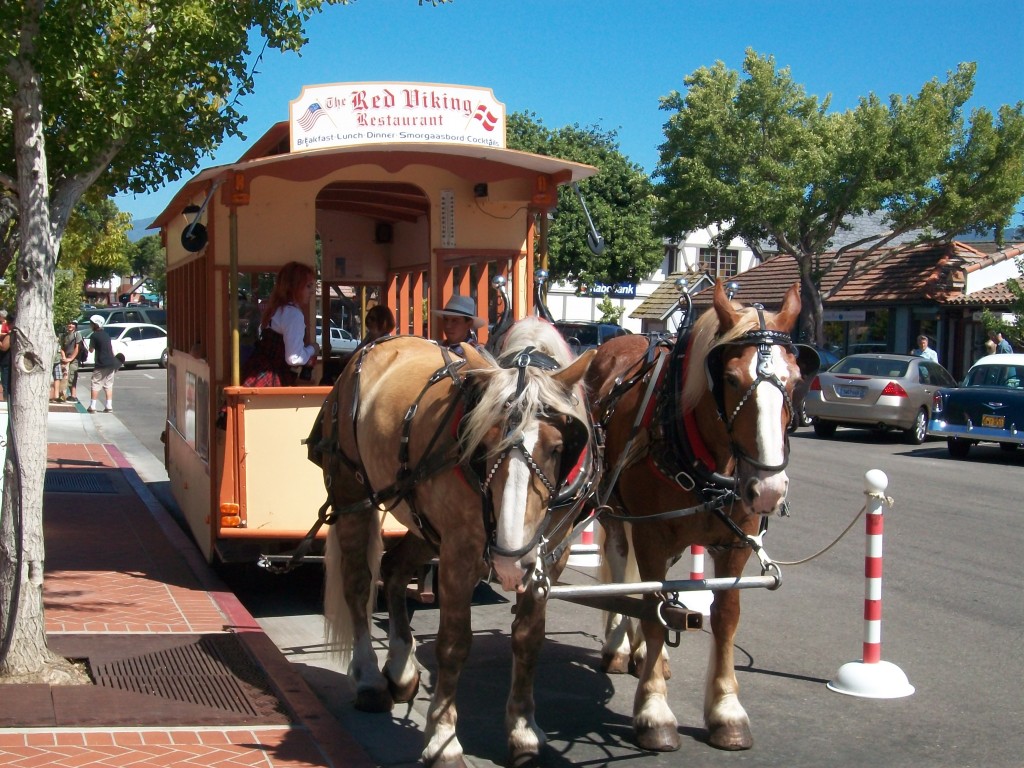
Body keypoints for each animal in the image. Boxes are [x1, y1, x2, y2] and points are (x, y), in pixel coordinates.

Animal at [315, 319, 598, 768]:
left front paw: (523, 731)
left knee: (394, 569)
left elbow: (528, 638)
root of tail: (378, 344)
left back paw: (401, 667)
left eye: (558, 448)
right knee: (358, 583)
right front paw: (442, 739)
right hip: (352, 493)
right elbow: (453, 644)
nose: (509, 561)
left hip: (426, 525)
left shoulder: (548, 558)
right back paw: (369, 678)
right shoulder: (460, 552)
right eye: (484, 443)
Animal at [585, 280, 815, 753]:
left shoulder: (735, 543)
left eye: (796, 380)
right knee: (621, 568)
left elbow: (724, 616)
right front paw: (654, 712)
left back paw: (643, 656)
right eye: (730, 379)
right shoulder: (651, 534)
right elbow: (652, 608)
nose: (768, 489)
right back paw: (620, 647)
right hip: (614, 510)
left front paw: (727, 712)